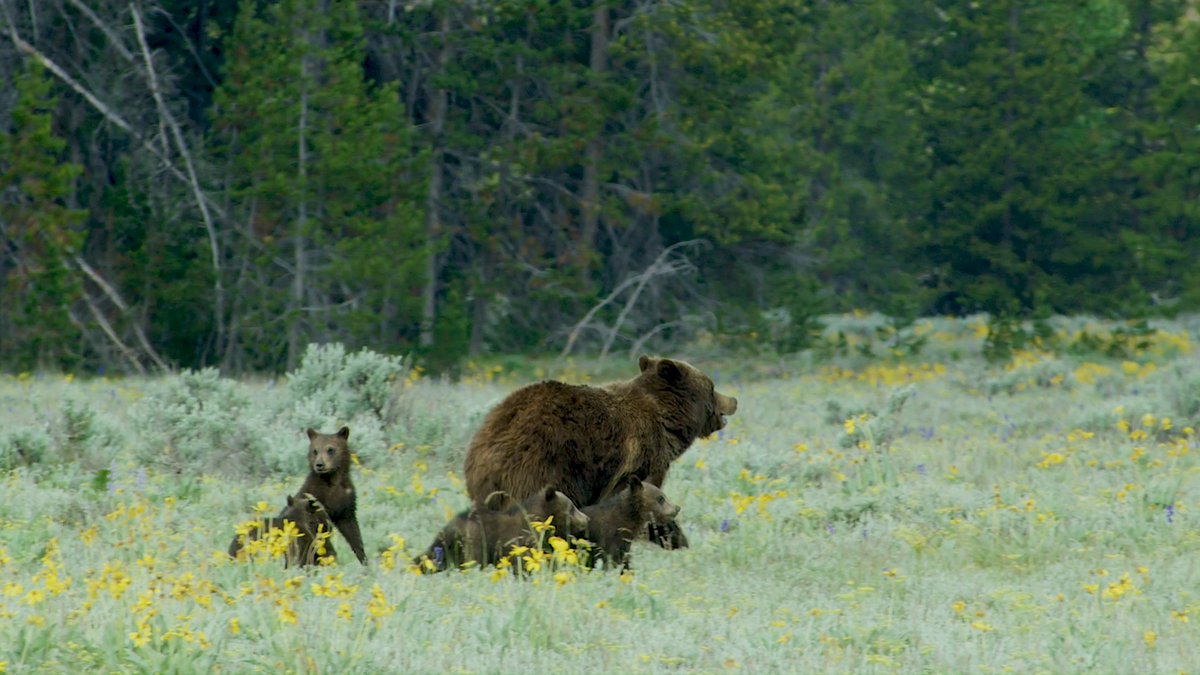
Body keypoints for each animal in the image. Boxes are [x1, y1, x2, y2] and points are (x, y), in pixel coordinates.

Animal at [295, 426, 368, 565]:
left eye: (330, 449)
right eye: (315, 450)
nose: (319, 464)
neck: (332, 480)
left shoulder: (346, 503)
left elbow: (353, 533)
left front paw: (364, 560)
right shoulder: (316, 499)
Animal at [416, 486, 590, 573]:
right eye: (572, 507)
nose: (586, 519)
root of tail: (450, 527)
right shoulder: (519, 541)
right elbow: (523, 561)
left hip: (447, 546)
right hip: (473, 544)